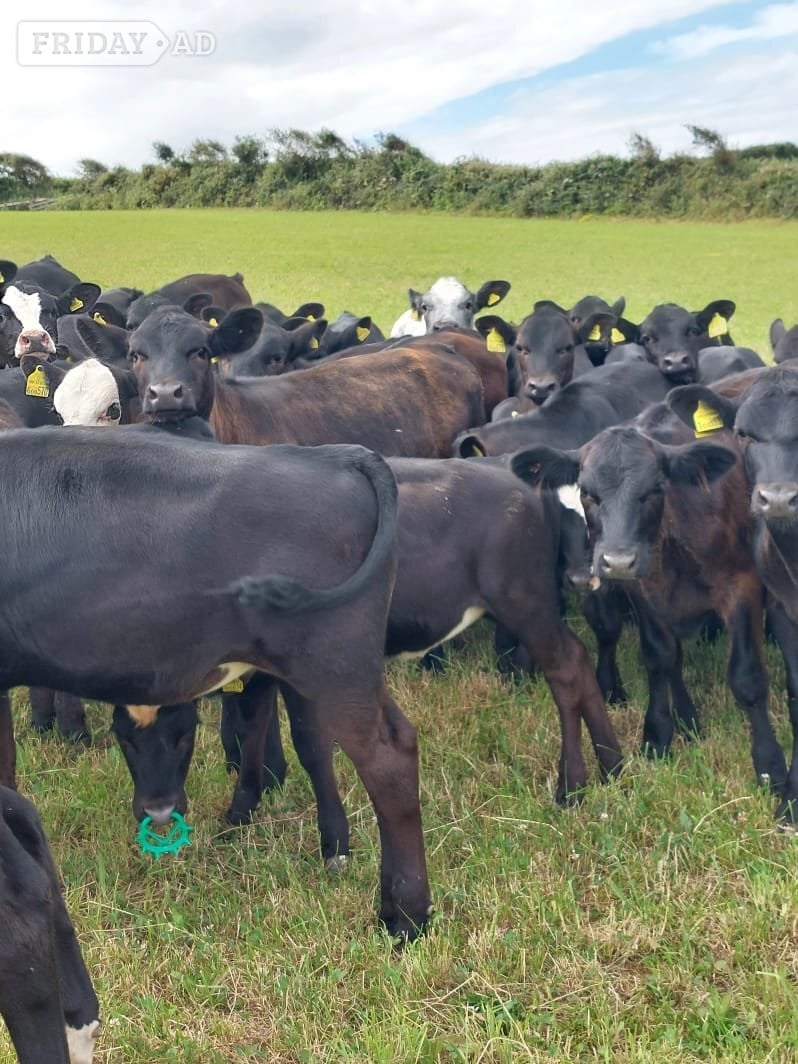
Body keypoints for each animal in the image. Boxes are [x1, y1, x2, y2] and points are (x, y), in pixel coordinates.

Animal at [510, 424, 792, 821]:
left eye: (655, 489)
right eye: (588, 493)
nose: (617, 560)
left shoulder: (744, 588)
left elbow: (747, 677)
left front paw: (769, 765)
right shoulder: (644, 594)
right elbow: (659, 659)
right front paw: (657, 736)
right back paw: (688, 719)